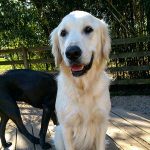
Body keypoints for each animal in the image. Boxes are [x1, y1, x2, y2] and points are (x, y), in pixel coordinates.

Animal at [50, 10, 111, 150]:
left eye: (88, 29)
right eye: (63, 33)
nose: (72, 52)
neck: (83, 87)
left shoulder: (102, 123)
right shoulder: (66, 127)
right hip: (58, 133)